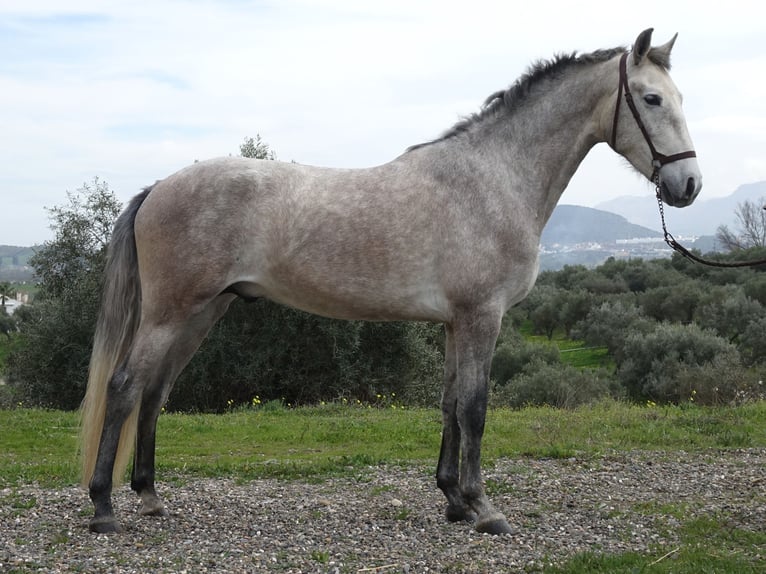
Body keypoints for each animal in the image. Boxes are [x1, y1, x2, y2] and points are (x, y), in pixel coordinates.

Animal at [80, 28, 701, 535]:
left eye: (679, 98)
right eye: (651, 98)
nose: (689, 184)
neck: (491, 179)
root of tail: (158, 187)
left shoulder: (454, 322)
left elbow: (450, 403)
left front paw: (453, 500)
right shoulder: (482, 316)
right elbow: (475, 407)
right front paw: (485, 508)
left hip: (204, 311)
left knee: (155, 392)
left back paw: (150, 497)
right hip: (171, 312)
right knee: (125, 386)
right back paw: (104, 508)